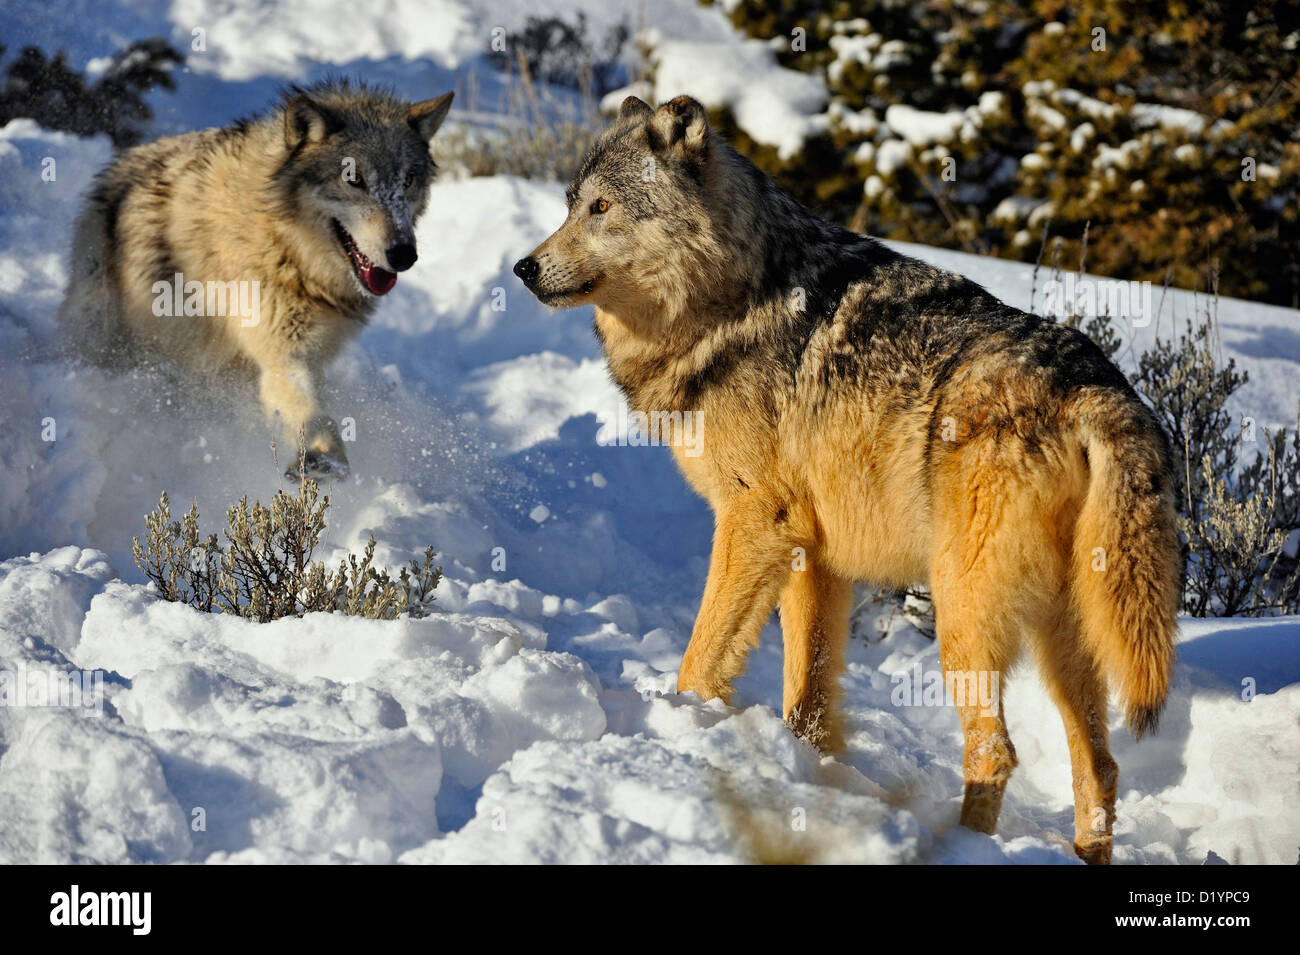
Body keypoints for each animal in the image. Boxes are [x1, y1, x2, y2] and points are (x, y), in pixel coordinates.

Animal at [62, 79, 457, 478]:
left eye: (408, 180)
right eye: (353, 179)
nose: (404, 254)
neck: (286, 241)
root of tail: (123, 161)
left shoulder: (302, 353)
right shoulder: (282, 349)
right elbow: (305, 405)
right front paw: (322, 455)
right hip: (103, 329)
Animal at [512, 93, 1185, 862]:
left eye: (602, 207)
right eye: (570, 205)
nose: (523, 268)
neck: (731, 298)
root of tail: (1095, 389)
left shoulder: (756, 524)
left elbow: (700, 660)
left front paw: (683, 725)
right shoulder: (814, 557)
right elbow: (806, 701)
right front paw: (813, 782)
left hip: (961, 613)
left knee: (995, 750)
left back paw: (957, 846)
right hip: (1061, 635)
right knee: (1099, 764)